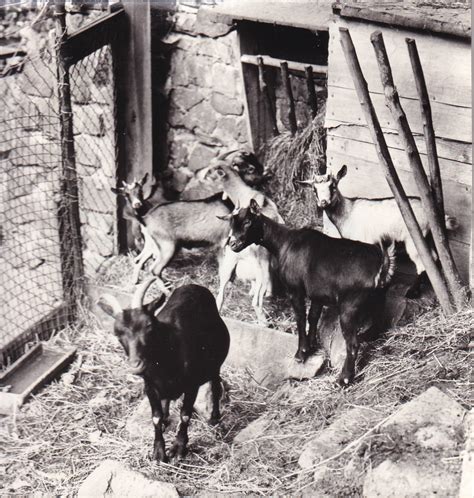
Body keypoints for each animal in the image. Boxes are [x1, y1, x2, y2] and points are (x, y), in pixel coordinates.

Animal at [302, 163, 458, 298]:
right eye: (314, 189)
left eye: (333, 186)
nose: (323, 203)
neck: (348, 211)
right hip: (428, 237)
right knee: (435, 257)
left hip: (414, 238)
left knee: (423, 262)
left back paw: (412, 292)